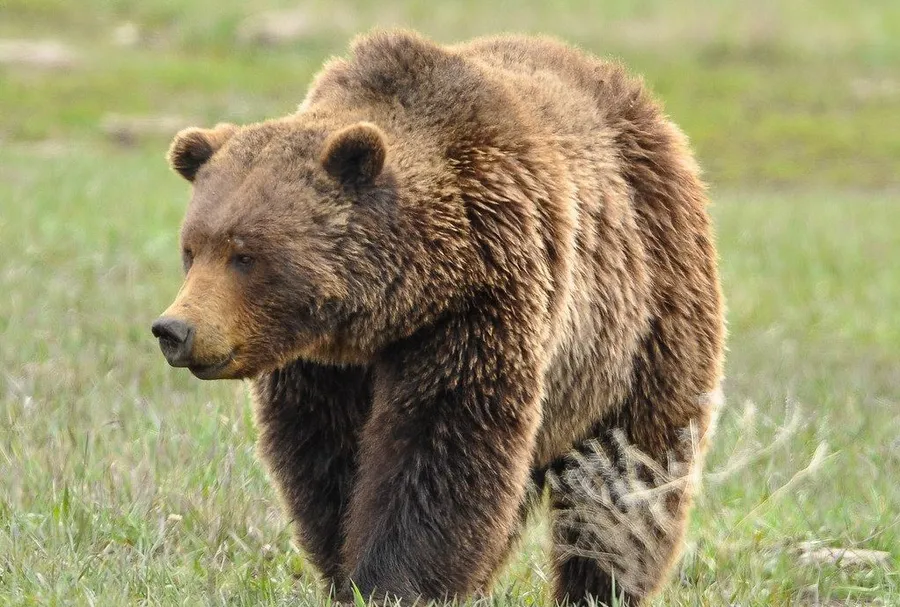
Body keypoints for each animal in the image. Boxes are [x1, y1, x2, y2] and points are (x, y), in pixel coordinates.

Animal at [151, 30, 725, 606]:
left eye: (245, 254)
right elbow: (327, 457)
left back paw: (601, 584)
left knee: (627, 480)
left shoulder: (481, 302)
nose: (175, 330)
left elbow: (440, 446)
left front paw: (390, 581)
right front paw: (346, 567)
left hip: (643, 324)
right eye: (191, 248)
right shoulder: (324, 367)